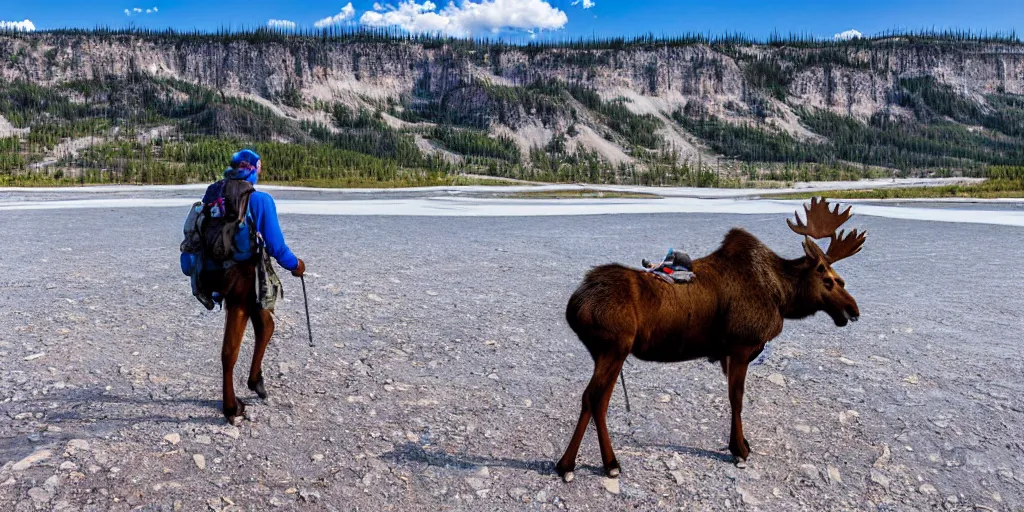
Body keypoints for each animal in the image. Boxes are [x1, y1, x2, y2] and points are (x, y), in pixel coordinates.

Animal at [561, 197, 864, 481]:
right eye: (829, 280)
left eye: (842, 280)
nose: (853, 310)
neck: (782, 297)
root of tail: (575, 304)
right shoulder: (741, 347)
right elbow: (736, 399)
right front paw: (739, 450)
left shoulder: (728, 353)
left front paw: (741, 444)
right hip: (613, 348)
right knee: (592, 397)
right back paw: (575, 464)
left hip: (609, 352)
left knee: (598, 400)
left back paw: (597, 463)